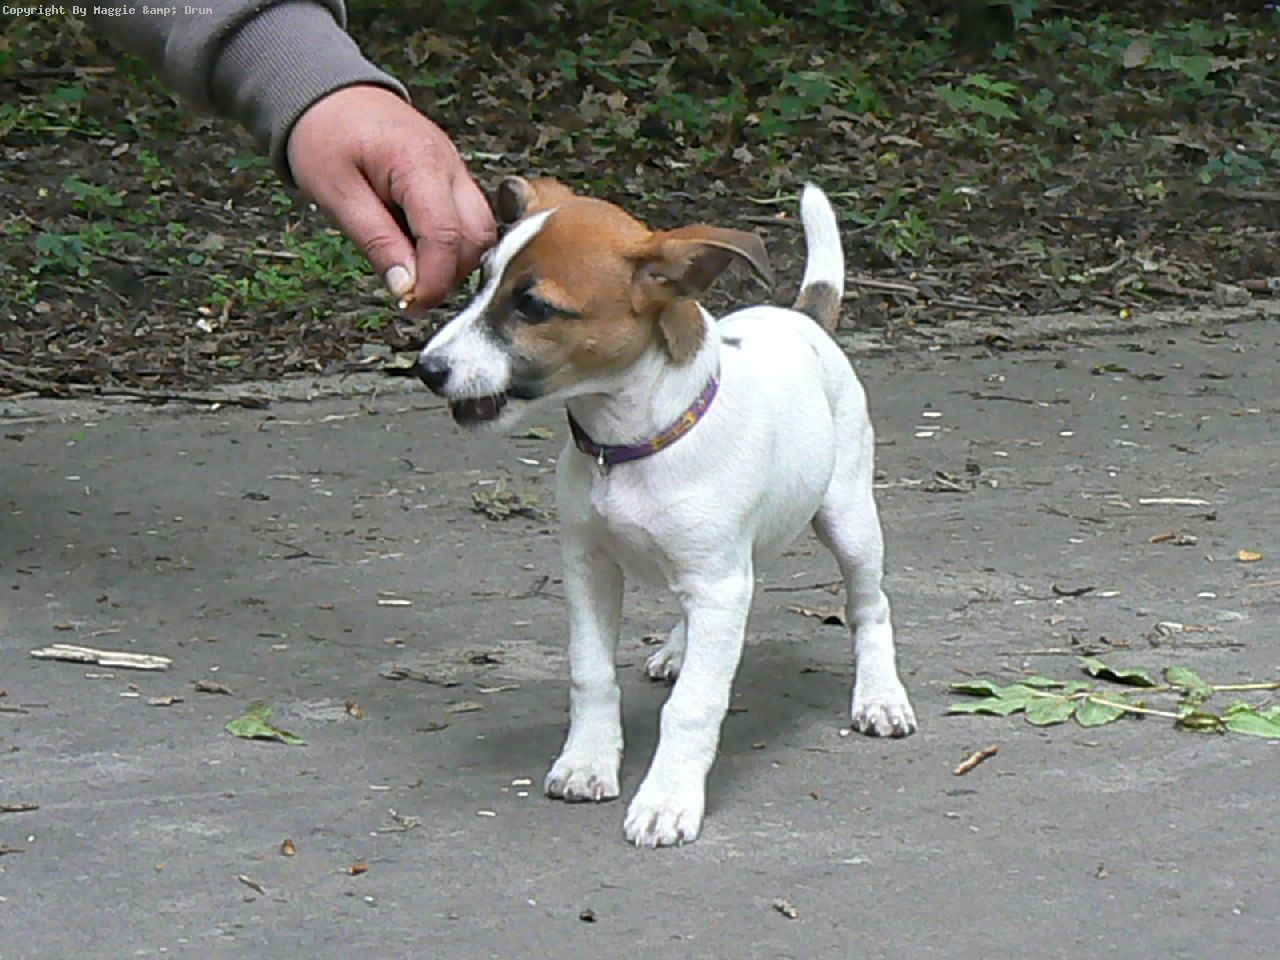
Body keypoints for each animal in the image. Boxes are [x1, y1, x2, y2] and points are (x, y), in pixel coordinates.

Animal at [415, 178, 916, 847]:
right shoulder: (591, 568)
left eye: (534, 308)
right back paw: (680, 650)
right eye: (481, 281)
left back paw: (880, 696)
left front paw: (667, 798)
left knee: (869, 606)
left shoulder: (718, 585)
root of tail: (803, 317)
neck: (631, 443)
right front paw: (587, 762)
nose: (426, 368)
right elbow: (591, 674)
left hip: (848, 519)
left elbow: (694, 707)